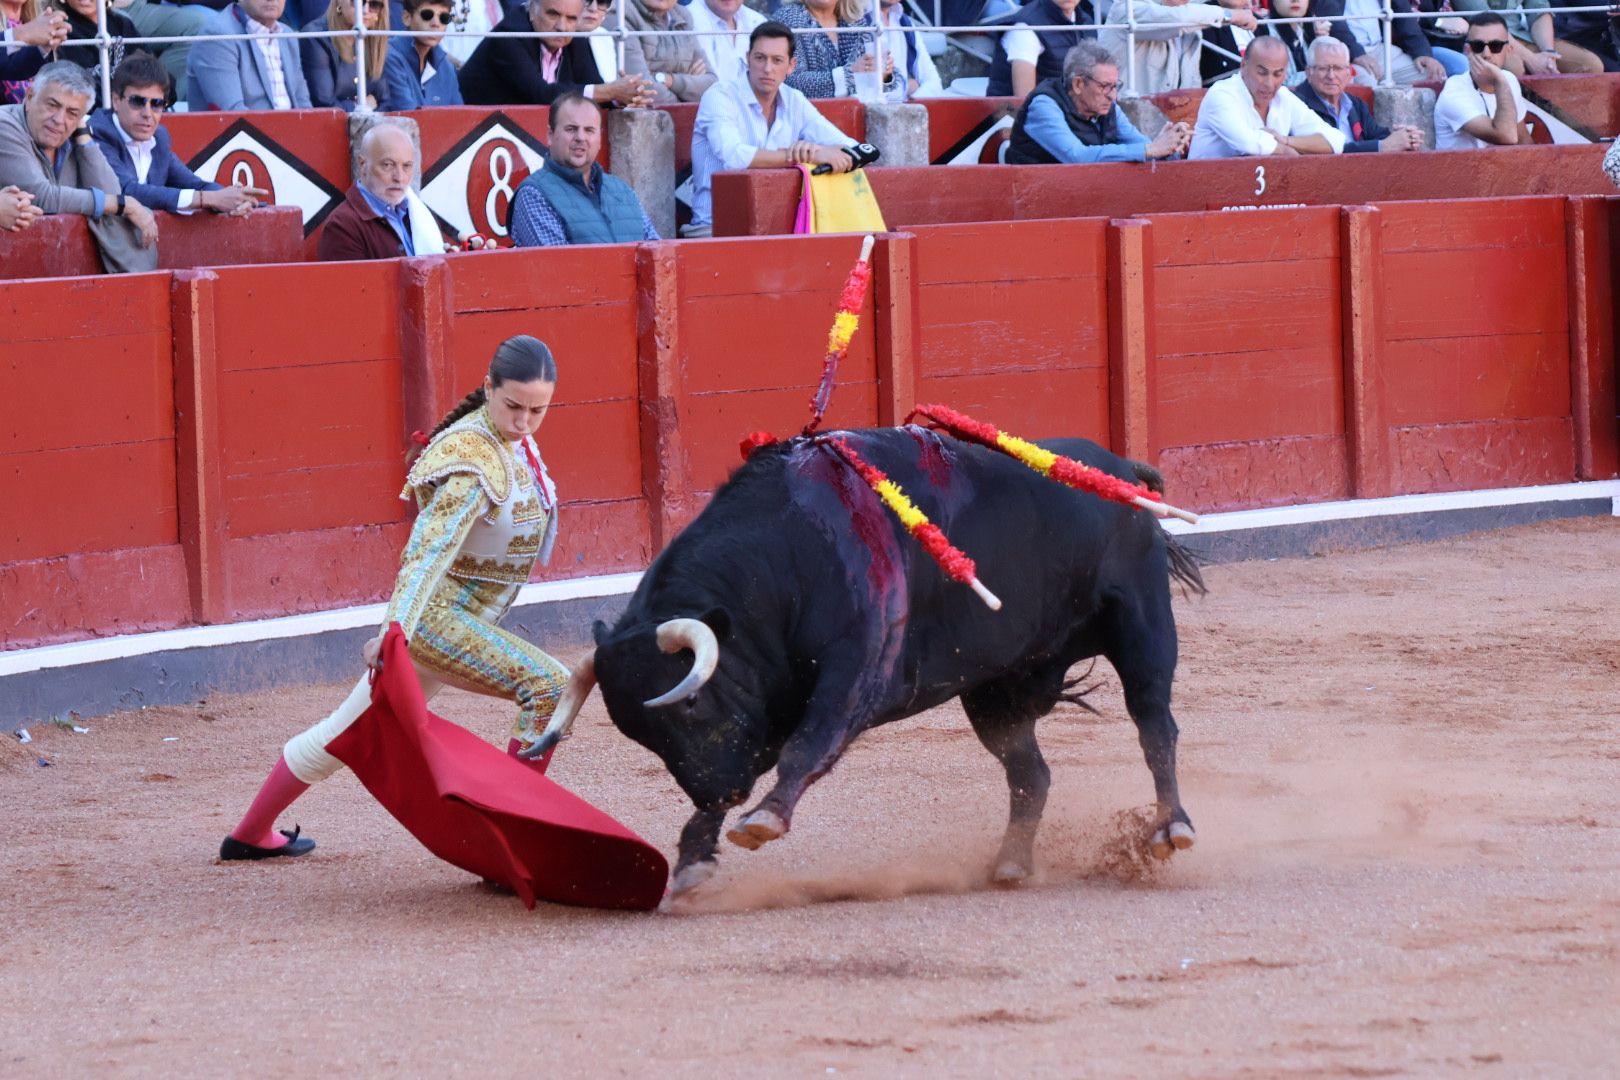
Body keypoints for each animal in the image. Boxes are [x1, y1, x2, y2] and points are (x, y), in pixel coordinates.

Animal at [531, 427, 1205, 893]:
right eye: (641, 735)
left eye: (691, 700)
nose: (721, 791)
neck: (785, 556)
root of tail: (1119, 469)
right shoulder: (769, 707)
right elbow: (782, 749)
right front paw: (695, 857)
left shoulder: (856, 672)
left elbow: (809, 745)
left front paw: (761, 820)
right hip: (994, 691)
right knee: (1030, 772)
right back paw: (1011, 864)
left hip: (1143, 629)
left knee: (1155, 725)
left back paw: (1172, 827)